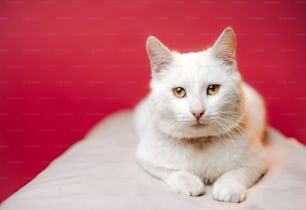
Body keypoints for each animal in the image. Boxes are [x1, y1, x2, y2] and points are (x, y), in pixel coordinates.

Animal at [135, 27, 266, 203]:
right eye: (179, 91)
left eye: (213, 89)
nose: (197, 111)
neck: (201, 142)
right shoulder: (147, 156)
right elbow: (172, 170)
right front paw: (188, 183)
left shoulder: (258, 160)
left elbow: (237, 172)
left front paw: (229, 188)